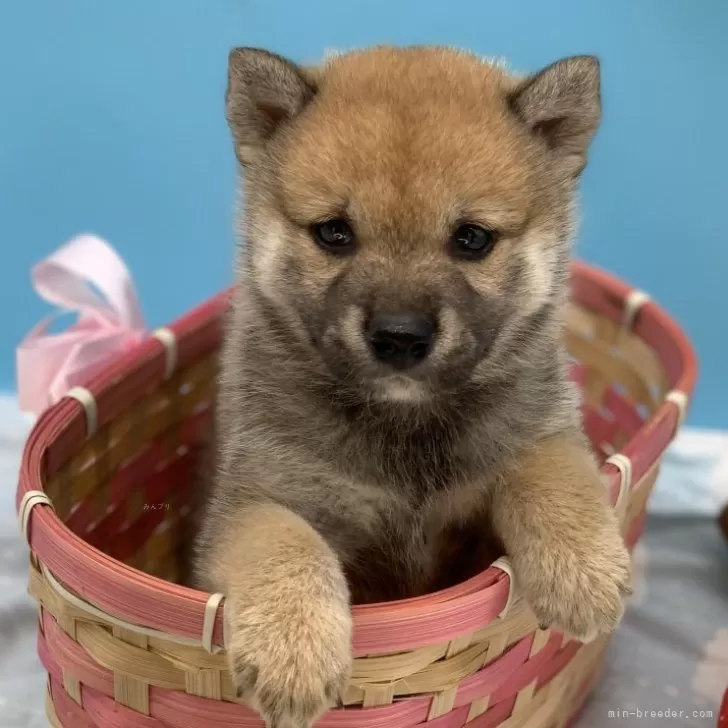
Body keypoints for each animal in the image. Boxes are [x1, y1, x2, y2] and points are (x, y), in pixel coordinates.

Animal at [195, 45, 632, 728]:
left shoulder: (532, 439)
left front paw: (582, 571)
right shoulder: (257, 499)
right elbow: (286, 545)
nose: (400, 337)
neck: (406, 428)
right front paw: (294, 652)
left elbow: (552, 471)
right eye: (334, 232)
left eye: (472, 238)